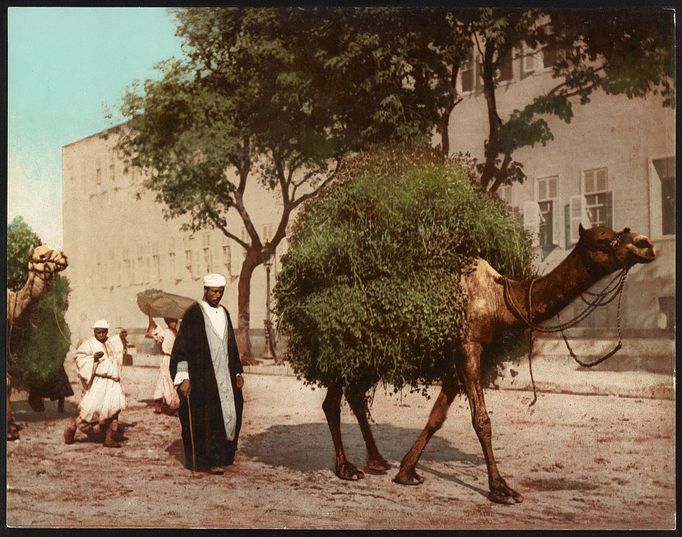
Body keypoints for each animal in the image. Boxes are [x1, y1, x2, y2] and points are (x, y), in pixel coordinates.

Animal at [322, 224, 656, 504]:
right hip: (345, 345)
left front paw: (406, 472)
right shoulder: (469, 345)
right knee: (333, 400)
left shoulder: (457, 353)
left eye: (620, 230)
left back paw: (376, 461)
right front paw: (501, 489)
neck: (500, 301)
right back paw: (346, 468)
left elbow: (437, 417)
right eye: (604, 240)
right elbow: (481, 420)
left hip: (370, 354)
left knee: (354, 394)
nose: (646, 244)